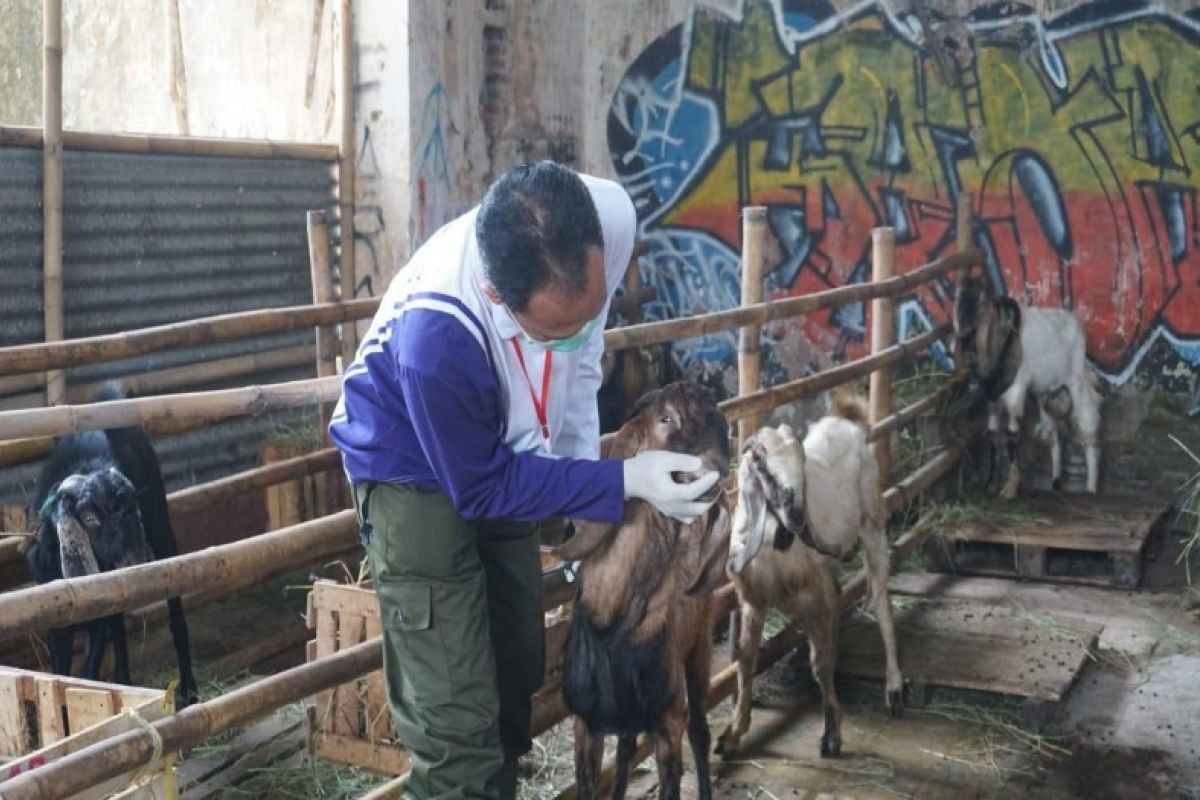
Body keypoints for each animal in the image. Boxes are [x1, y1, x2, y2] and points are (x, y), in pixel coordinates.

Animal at [27, 386, 199, 705]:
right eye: (88, 517)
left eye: (133, 509)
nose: (135, 559)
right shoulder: (57, 614)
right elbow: (62, 670)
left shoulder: (98, 611)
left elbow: (87, 670)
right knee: (119, 630)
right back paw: (124, 679)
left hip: (161, 528)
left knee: (175, 615)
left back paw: (190, 690)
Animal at [554, 381, 729, 800]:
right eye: (665, 418)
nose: (716, 472)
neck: (615, 628)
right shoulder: (585, 725)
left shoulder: (667, 726)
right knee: (626, 749)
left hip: (699, 647)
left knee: (700, 732)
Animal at [710, 398, 902, 762]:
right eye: (762, 465)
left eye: (801, 460)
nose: (797, 515)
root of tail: (846, 419)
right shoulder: (753, 602)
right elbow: (745, 661)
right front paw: (733, 734)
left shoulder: (814, 596)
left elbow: (820, 664)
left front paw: (831, 735)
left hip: (872, 521)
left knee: (882, 600)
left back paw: (895, 686)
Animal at [950, 278, 1099, 496]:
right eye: (956, 298)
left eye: (981, 303)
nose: (961, 335)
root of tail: (1077, 323)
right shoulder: (993, 398)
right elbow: (992, 435)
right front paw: (990, 482)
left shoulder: (1015, 393)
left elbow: (1012, 436)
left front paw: (1010, 487)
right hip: (1046, 394)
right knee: (1053, 437)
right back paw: (1056, 482)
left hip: (1077, 382)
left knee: (1088, 427)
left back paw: (1091, 487)